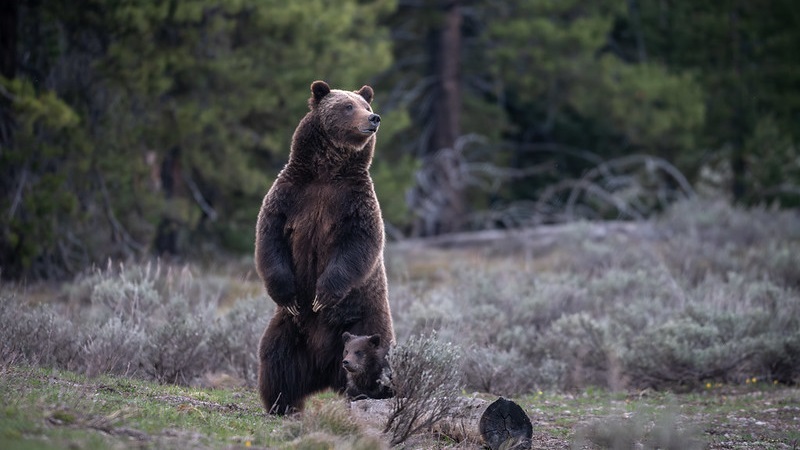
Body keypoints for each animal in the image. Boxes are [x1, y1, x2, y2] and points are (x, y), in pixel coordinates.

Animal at [255, 80, 396, 414]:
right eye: (347, 106)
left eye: (366, 106)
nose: (374, 119)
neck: (326, 172)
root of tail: (324, 370)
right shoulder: (290, 195)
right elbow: (270, 239)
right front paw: (290, 296)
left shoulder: (354, 202)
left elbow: (358, 245)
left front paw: (323, 295)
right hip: (291, 330)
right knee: (276, 359)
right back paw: (281, 404)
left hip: (366, 322)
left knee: (375, 359)